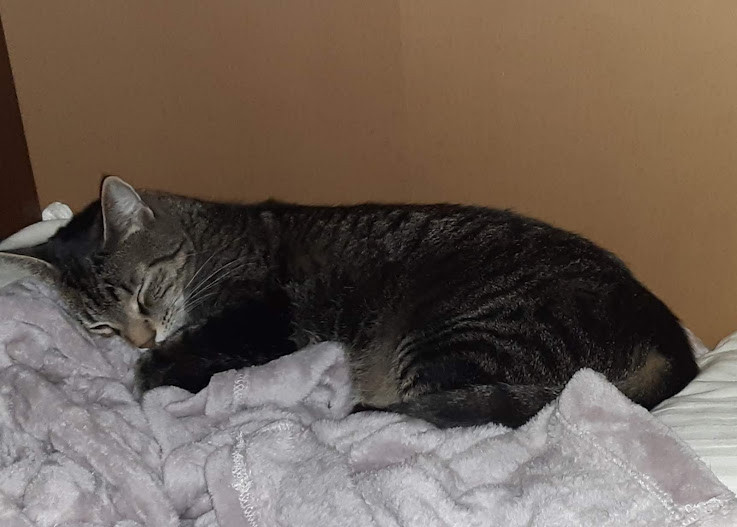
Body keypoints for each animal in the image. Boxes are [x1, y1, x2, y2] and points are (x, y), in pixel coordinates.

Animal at [0, 176, 698, 428]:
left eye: (143, 292)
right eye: (99, 327)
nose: (140, 338)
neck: (206, 238)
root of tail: (664, 329)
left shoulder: (261, 320)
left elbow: (192, 354)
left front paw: (154, 370)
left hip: (469, 338)